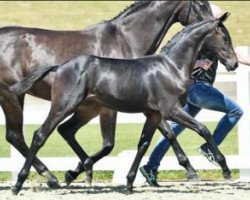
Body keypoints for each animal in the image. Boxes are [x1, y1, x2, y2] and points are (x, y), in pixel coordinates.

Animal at [11, 12, 234, 194]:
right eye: (224, 37)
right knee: (40, 135)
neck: (171, 67)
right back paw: (21, 184)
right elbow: (203, 129)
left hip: (85, 109)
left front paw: (129, 183)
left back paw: (82, 171)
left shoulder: (154, 115)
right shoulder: (171, 110)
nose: (233, 63)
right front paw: (225, 169)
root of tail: (60, 66)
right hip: (63, 106)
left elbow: (143, 144)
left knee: (65, 130)